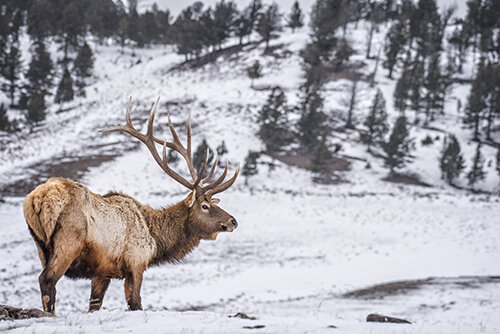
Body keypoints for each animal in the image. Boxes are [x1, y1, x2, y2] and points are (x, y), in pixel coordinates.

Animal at [24, 98, 239, 314]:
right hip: (68, 239)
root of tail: (37, 198)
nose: (233, 221)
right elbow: (136, 303)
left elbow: (94, 304)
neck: (156, 240)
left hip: (39, 245)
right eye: (204, 206)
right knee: (47, 280)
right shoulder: (136, 262)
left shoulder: (102, 272)